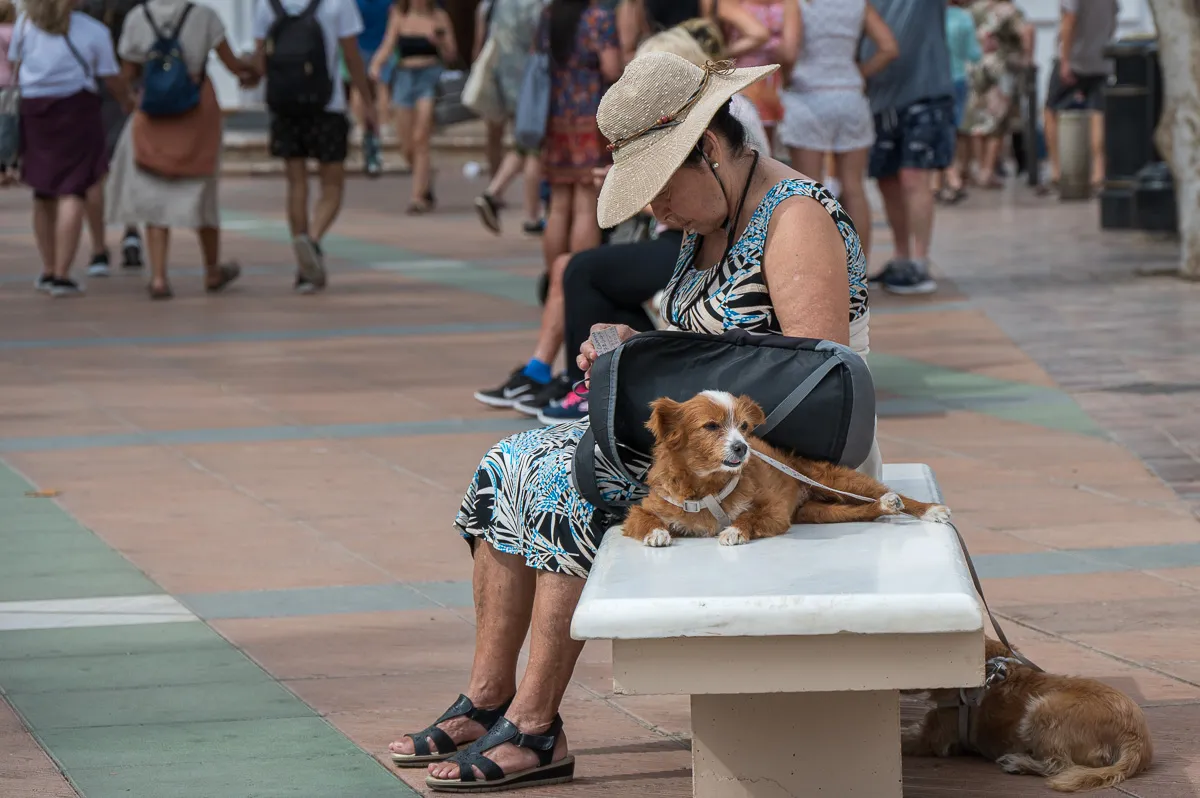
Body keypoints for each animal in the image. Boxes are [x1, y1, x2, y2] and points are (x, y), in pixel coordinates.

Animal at [624, 388, 950, 544]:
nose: (743, 447)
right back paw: (884, 506)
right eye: (711, 426)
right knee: (865, 509)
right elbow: (642, 519)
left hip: (835, 480)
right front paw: (656, 533)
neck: (707, 487)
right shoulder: (645, 509)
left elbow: (749, 517)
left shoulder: (774, 511)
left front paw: (735, 532)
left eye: (744, 427)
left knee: (888, 493)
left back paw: (929, 509)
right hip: (821, 512)